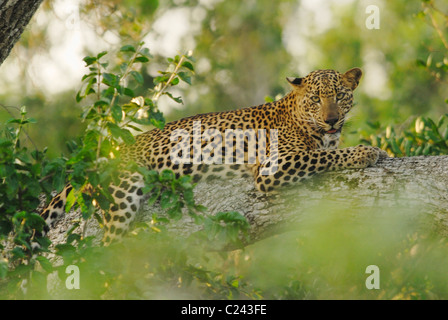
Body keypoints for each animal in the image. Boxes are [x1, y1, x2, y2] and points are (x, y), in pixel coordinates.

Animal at [38, 66, 388, 244]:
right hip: (122, 195)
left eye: (340, 96)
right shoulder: (275, 164)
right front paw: (367, 151)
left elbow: (327, 153)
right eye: (316, 99)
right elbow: (325, 157)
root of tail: (114, 151)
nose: (331, 120)